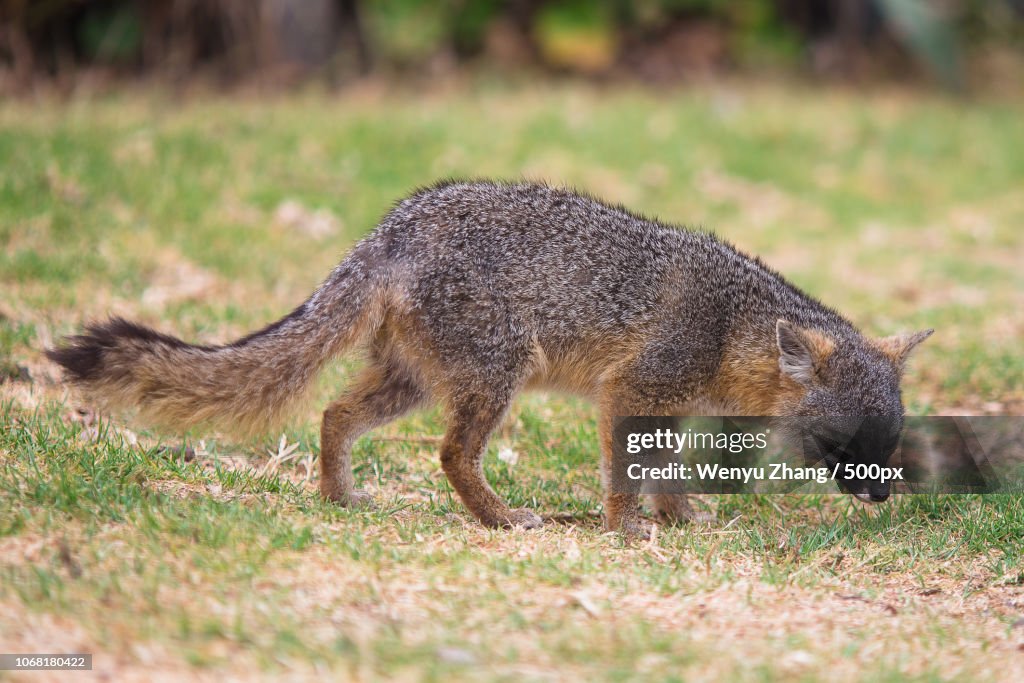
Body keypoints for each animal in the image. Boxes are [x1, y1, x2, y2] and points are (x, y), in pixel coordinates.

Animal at [46, 181, 929, 540]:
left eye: (888, 447)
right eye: (843, 448)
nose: (883, 498)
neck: (729, 323)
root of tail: (390, 228)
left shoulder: (668, 404)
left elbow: (665, 467)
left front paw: (677, 515)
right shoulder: (631, 388)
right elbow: (626, 471)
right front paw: (625, 528)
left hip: (412, 379)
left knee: (335, 411)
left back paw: (340, 497)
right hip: (495, 376)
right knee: (449, 452)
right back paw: (501, 518)